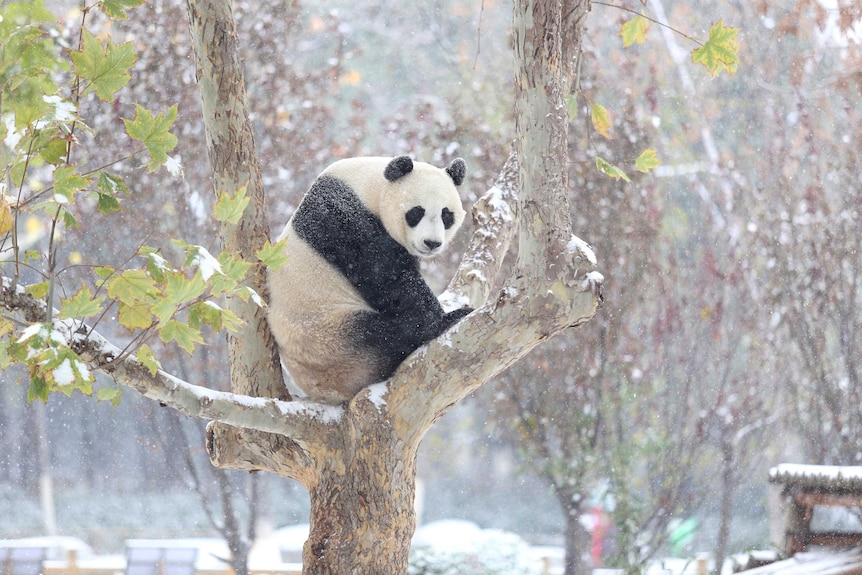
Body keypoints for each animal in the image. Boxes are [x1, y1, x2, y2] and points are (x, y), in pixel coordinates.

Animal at [268, 154, 476, 404]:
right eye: (417, 212)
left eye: (447, 215)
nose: (432, 243)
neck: (368, 187)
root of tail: (326, 393)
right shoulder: (344, 220)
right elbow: (389, 280)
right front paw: (442, 318)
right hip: (329, 337)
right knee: (383, 337)